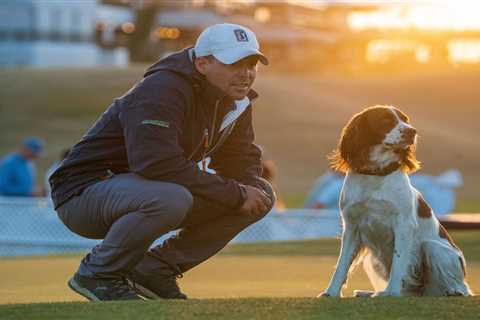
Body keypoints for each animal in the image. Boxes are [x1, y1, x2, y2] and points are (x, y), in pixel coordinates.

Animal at [320, 105, 470, 298]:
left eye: (406, 119)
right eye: (386, 120)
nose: (412, 131)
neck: (376, 174)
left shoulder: (403, 224)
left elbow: (398, 262)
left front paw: (391, 292)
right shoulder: (351, 226)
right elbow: (341, 265)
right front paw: (330, 292)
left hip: (433, 248)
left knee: (453, 288)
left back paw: (451, 291)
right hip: (372, 259)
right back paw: (369, 292)